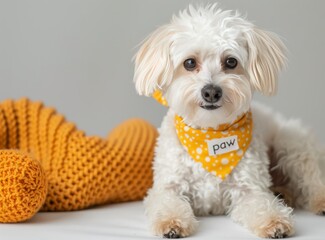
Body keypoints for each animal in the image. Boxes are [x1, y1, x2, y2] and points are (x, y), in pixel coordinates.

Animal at [132, 4, 324, 238]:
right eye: (189, 63)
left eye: (231, 62)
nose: (211, 92)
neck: (211, 135)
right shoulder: (167, 187)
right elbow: (166, 203)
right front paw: (171, 222)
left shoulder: (250, 190)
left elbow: (263, 205)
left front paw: (275, 221)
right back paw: (283, 193)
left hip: (292, 142)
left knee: (312, 181)